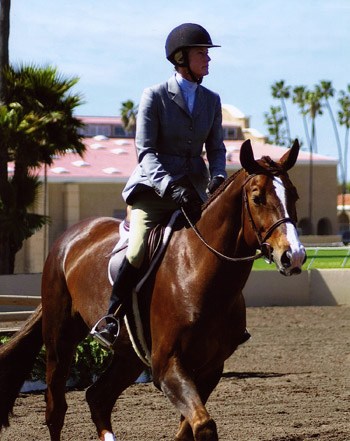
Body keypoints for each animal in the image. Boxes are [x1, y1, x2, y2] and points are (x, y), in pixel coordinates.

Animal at [0, 140, 306, 440]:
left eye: (294, 195)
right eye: (257, 198)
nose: (294, 256)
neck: (197, 272)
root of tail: (70, 238)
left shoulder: (210, 368)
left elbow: (188, 429)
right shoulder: (167, 365)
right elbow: (203, 426)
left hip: (129, 355)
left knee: (98, 397)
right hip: (60, 338)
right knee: (56, 410)